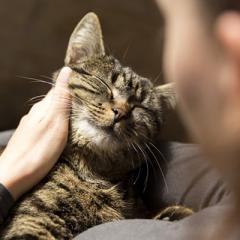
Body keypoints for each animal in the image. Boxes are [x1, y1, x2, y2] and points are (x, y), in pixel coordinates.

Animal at [0, 13, 192, 240]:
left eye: (139, 107)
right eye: (104, 83)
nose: (121, 112)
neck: (95, 174)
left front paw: (172, 215)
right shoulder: (32, 222)